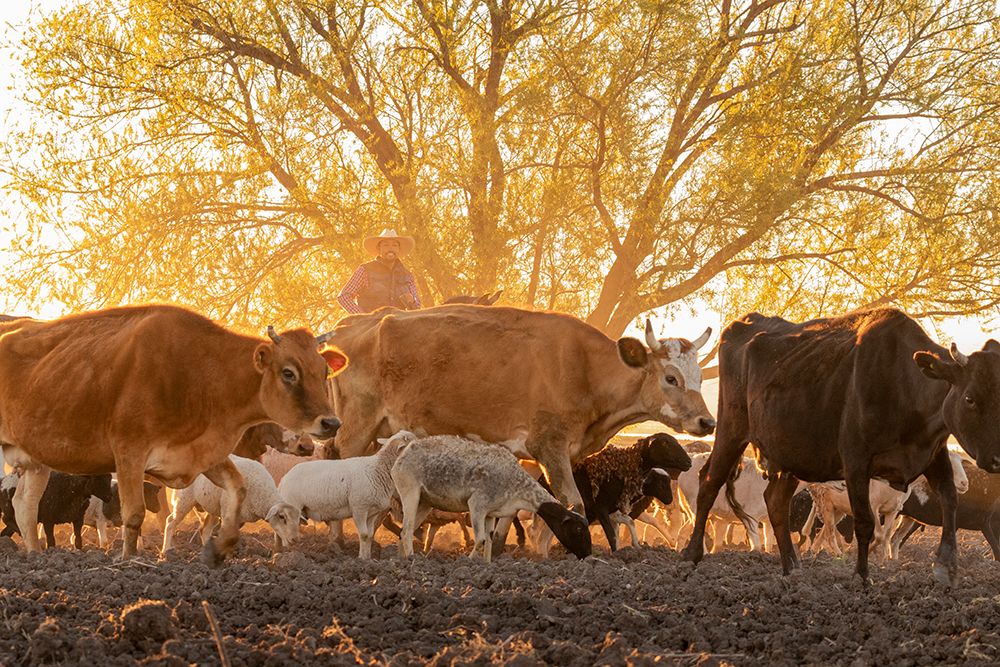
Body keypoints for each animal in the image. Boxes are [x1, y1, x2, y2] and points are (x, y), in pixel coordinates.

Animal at [0, 304, 346, 563]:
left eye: (323, 370)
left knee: (25, 506)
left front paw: (220, 548)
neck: (197, 375)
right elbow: (134, 514)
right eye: (288, 372)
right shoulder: (129, 452)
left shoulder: (204, 454)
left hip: (35, 461)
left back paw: (35, 554)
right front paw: (127, 560)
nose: (331, 423)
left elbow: (236, 491)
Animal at [321, 305, 715, 510]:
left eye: (698, 376)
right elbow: (572, 501)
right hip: (358, 425)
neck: (584, 368)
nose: (707, 422)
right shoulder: (549, 445)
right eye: (671, 378)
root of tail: (351, 327)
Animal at [681, 308, 1000, 585]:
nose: (996, 459)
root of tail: (743, 323)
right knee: (709, 483)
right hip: (731, 427)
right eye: (970, 398)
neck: (904, 385)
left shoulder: (932, 454)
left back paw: (791, 566)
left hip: (793, 453)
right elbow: (865, 523)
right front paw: (861, 576)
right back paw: (691, 555)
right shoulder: (856, 461)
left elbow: (949, 501)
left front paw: (947, 567)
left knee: (775, 501)